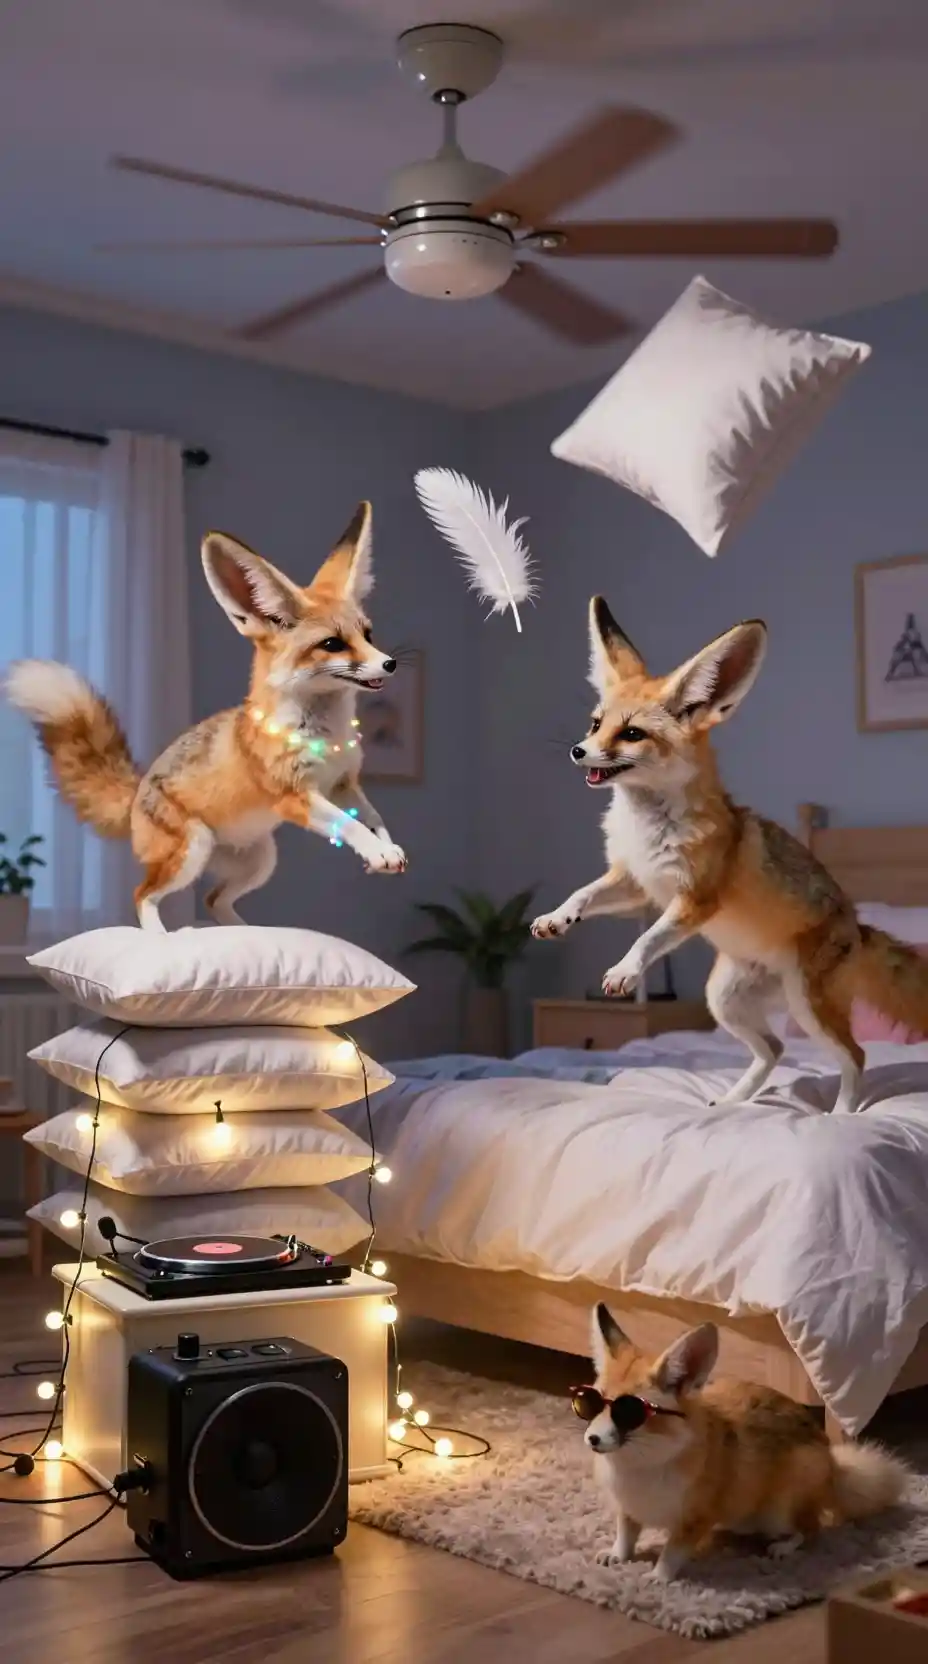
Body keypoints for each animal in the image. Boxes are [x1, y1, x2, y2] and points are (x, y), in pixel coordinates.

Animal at [5, 501, 407, 932]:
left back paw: (245, 934)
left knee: (213, 901)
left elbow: (373, 818)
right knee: (142, 895)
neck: (325, 734)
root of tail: (136, 794)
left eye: (368, 634)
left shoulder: (344, 782)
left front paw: (386, 847)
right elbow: (347, 824)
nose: (390, 663)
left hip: (260, 861)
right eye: (332, 644)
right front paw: (376, 851)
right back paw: (162, 939)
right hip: (192, 851)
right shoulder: (295, 796)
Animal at [531, 598, 928, 1114]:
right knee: (774, 1049)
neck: (648, 829)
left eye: (632, 733)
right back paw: (732, 1101)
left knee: (855, 1056)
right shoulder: (637, 884)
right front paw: (556, 919)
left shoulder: (695, 900)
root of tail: (858, 927)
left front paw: (624, 970)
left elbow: (647, 941)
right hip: (724, 999)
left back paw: (841, 1115)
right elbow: (583, 894)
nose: (579, 751)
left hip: (808, 1008)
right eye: (597, 724)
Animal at [580, 1302, 908, 1583]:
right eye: (589, 1403)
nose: (591, 1439)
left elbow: (672, 1552)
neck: (642, 1467)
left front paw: (659, 1576)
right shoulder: (628, 1509)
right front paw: (617, 1555)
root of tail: (833, 1462)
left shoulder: (695, 1518)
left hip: (777, 1514)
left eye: (629, 1413)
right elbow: (626, 1536)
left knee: (811, 1530)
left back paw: (783, 1547)